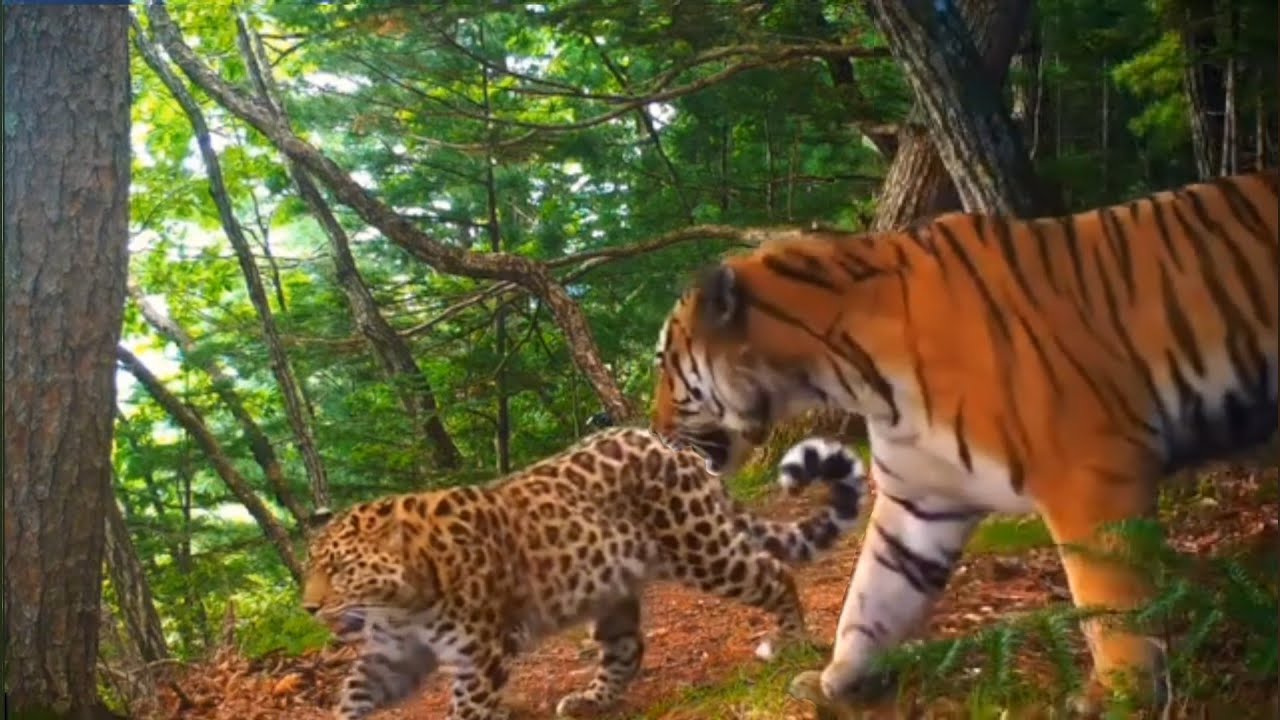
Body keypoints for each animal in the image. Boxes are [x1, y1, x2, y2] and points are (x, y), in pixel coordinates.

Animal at [301, 426, 868, 720]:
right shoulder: (394, 652)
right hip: (610, 588)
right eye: (310, 569)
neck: (401, 603)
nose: (308, 607)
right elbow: (355, 691)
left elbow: (468, 708)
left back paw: (791, 640)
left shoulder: (481, 653)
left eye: (339, 569)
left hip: (700, 547)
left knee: (773, 573)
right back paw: (588, 700)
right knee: (625, 649)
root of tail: (669, 443)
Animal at [649, 169, 1278, 715]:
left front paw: (1121, 697)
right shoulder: (920, 499)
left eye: (662, 364)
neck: (847, 371)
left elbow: (1109, 597)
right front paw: (836, 681)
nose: (652, 430)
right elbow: (872, 597)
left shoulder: (1089, 472)